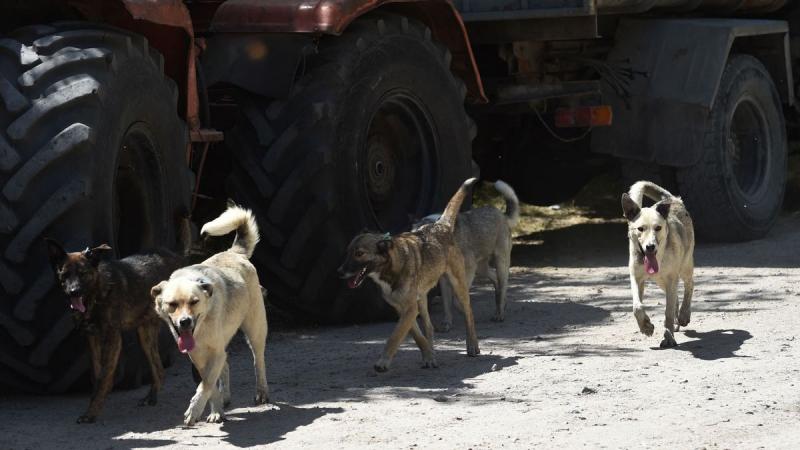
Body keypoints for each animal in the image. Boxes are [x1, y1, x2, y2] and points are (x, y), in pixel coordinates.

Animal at [46, 230, 189, 424]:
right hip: (145, 334)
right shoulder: (92, 337)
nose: (74, 292)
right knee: (159, 369)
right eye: (65, 274)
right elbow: (96, 374)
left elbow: (104, 376)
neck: (97, 294)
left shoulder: (112, 338)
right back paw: (151, 397)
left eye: (82, 273)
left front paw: (92, 411)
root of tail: (177, 256)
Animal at [152, 207, 270, 426]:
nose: (185, 322)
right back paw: (224, 400)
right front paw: (215, 409)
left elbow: (206, 384)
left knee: (258, 360)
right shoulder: (199, 358)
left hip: (255, 331)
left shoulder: (214, 354)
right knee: (225, 365)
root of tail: (233, 253)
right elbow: (210, 384)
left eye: (194, 301)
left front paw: (195, 408)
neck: (201, 329)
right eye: (172, 305)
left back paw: (262, 393)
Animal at [340, 178, 482, 370]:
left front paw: (383, 361)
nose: (340, 272)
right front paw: (428, 356)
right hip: (422, 298)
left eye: (359, 254)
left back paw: (472, 345)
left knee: (469, 315)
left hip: (458, 287)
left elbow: (395, 337)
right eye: (348, 252)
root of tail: (441, 225)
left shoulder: (409, 309)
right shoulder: (405, 310)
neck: (392, 267)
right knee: (429, 327)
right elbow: (417, 336)